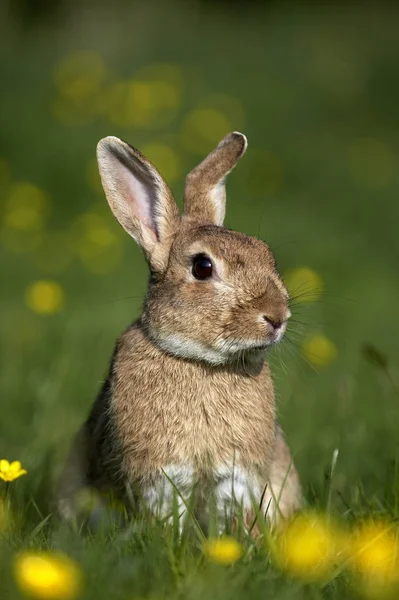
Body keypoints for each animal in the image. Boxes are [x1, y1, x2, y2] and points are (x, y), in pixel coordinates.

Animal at [57, 131, 304, 528]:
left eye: (267, 254)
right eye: (202, 267)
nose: (277, 316)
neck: (201, 363)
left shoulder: (236, 475)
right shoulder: (162, 474)